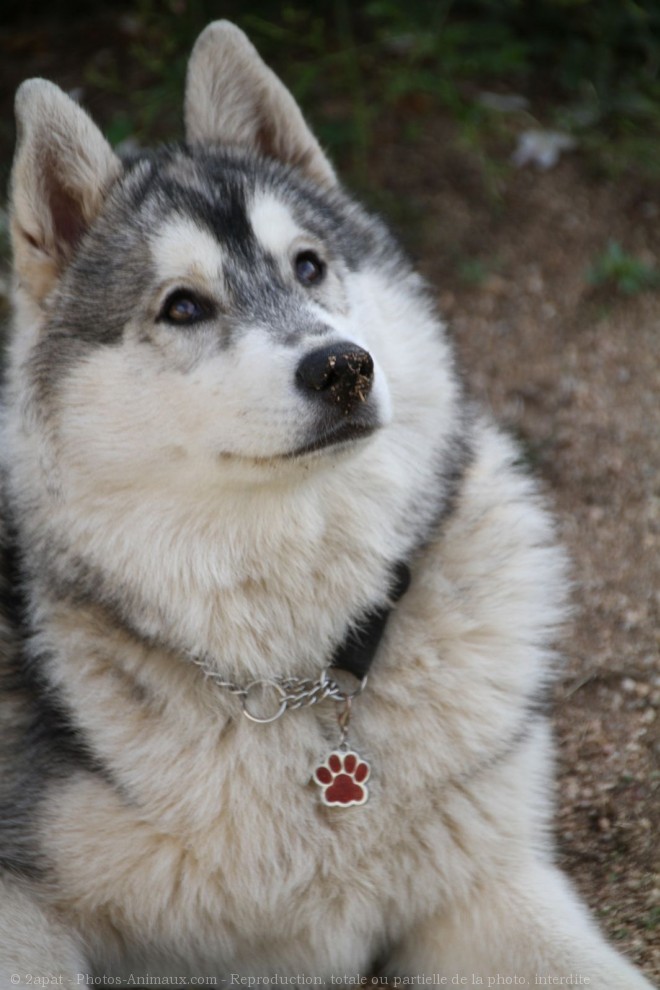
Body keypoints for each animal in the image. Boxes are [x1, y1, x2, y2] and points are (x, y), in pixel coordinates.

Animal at [0, 17, 648, 990]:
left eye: (308, 265)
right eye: (183, 307)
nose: (343, 367)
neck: (298, 674)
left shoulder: (487, 881)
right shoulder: (25, 907)